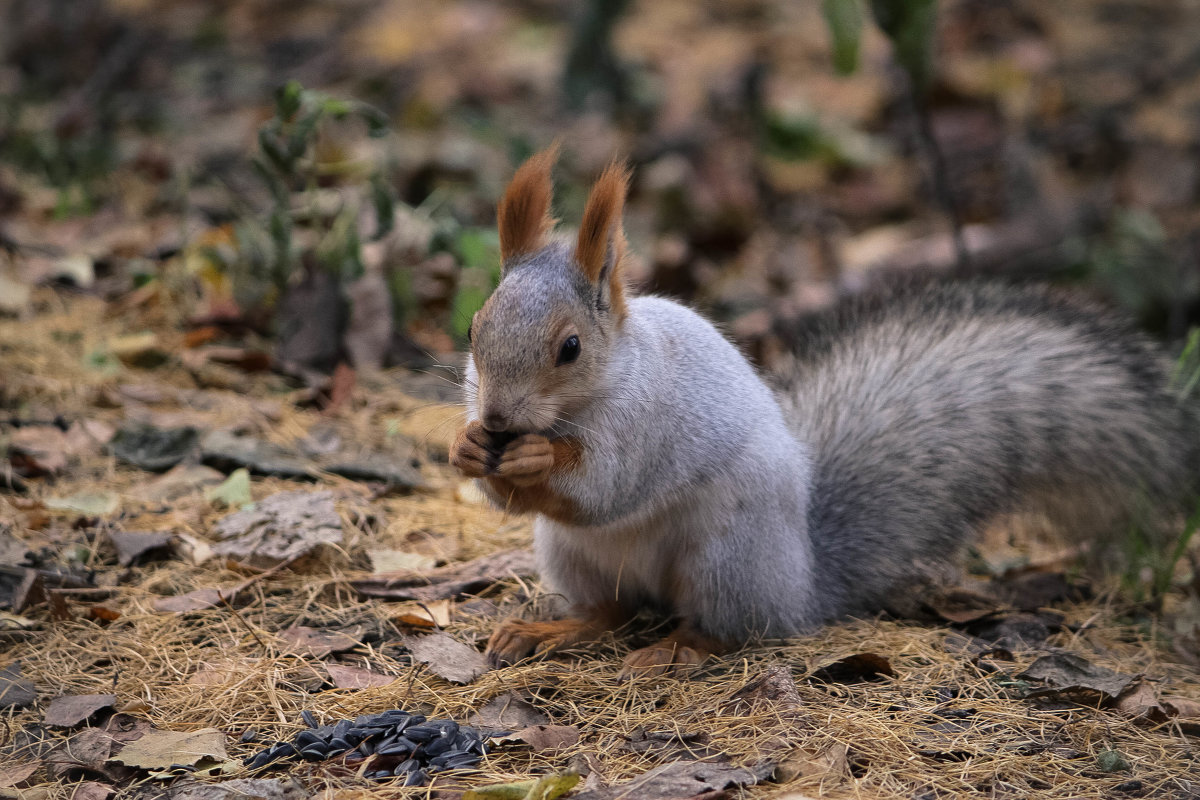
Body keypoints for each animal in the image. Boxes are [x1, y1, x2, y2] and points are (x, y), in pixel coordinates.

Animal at [451, 146, 1200, 681]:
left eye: (570, 348)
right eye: (473, 327)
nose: (498, 419)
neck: (602, 382)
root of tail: (804, 585)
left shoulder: (649, 420)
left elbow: (605, 487)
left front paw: (538, 455)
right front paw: (467, 449)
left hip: (728, 555)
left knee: (730, 628)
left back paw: (680, 648)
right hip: (573, 555)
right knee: (612, 611)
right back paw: (551, 629)